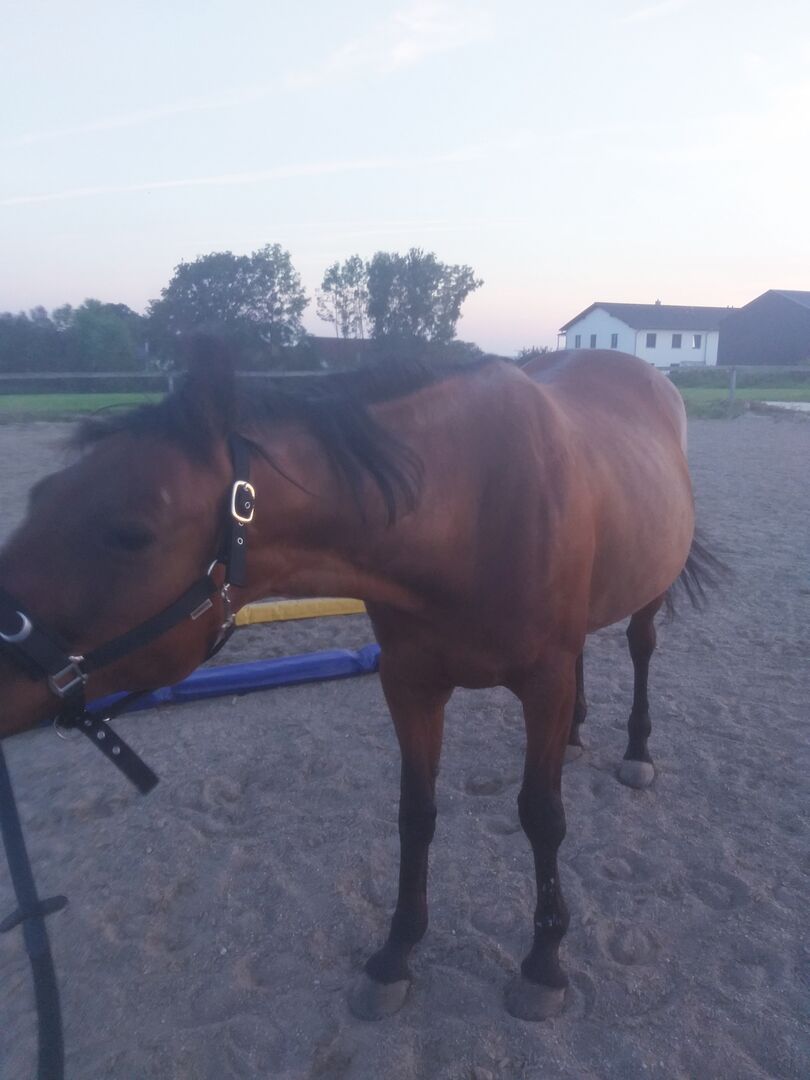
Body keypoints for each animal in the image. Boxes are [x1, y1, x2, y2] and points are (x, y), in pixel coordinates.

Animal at [0, 342, 712, 1022]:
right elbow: (415, 815)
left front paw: (543, 966)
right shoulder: (410, 684)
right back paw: (576, 734)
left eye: (130, 532)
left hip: (648, 591)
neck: (467, 508)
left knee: (640, 648)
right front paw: (395, 955)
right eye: (38, 497)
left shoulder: (541, 683)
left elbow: (541, 816)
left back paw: (636, 750)